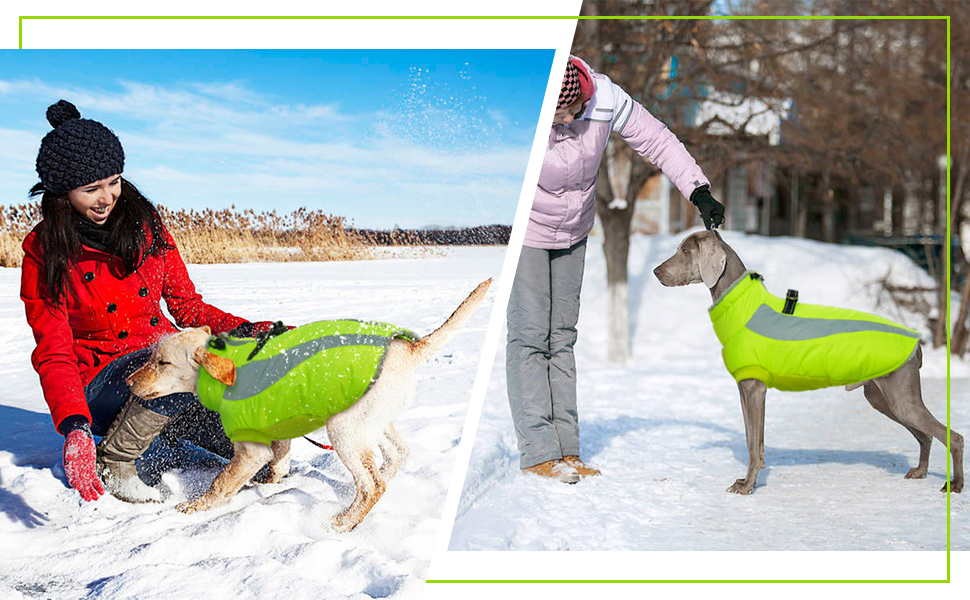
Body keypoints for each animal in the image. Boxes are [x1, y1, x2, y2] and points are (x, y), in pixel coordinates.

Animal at [129, 278, 492, 532]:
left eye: (162, 363)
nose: (128, 382)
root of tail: (408, 349)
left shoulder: (250, 449)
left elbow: (222, 482)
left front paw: (195, 508)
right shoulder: (277, 434)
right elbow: (278, 466)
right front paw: (270, 486)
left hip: (343, 429)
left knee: (372, 486)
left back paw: (339, 524)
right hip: (371, 422)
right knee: (395, 457)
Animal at [652, 229, 960, 492]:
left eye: (684, 250)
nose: (655, 272)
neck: (742, 304)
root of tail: (917, 342)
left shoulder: (754, 389)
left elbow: (753, 445)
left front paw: (747, 485)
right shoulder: (744, 388)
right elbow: (752, 438)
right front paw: (747, 480)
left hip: (900, 396)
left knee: (952, 436)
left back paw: (954, 484)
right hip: (881, 396)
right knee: (926, 435)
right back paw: (920, 471)